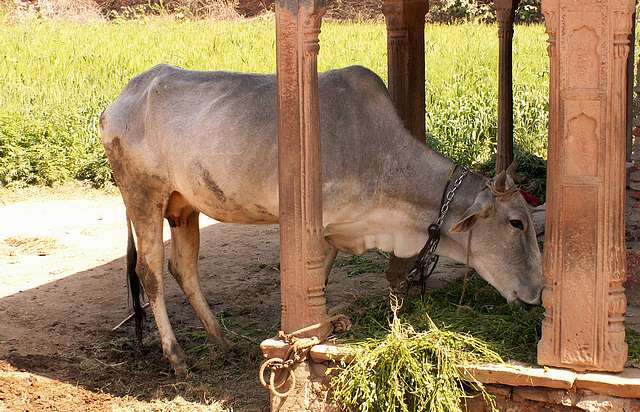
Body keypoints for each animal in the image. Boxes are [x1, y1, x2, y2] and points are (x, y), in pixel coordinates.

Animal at [101, 63, 544, 374]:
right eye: (516, 222)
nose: (538, 292)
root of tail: (119, 99)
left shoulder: (335, 232)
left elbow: (322, 275)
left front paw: (321, 328)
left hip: (184, 206)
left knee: (185, 268)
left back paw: (222, 340)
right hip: (143, 195)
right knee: (150, 271)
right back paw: (177, 356)